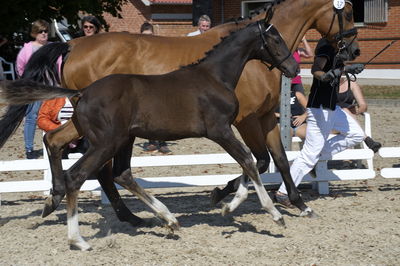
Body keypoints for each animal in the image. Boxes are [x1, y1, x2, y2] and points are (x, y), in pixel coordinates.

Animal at [0, 0, 356, 222]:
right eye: (350, 13)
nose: (352, 51)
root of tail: (72, 44)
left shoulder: (266, 118)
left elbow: (280, 160)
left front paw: (298, 203)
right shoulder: (244, 121)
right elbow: (259, 160)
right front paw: (220, 194)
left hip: (86, 122)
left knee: (57, 143)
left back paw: (59, 199)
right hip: (104, 130)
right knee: (98, 168)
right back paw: (129, 216)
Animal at [2, 20, 296, 249]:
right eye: (275, 39)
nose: (293, 69)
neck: (215, 76)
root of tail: (82, 93)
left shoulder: (227, 130)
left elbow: (252, 162)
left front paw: (228, 205)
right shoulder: (221, 130)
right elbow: (249, 160)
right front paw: (273, 214)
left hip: (117, 137)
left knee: (101, 165)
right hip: (107, 142)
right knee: (79, 175)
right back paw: (79, 239)